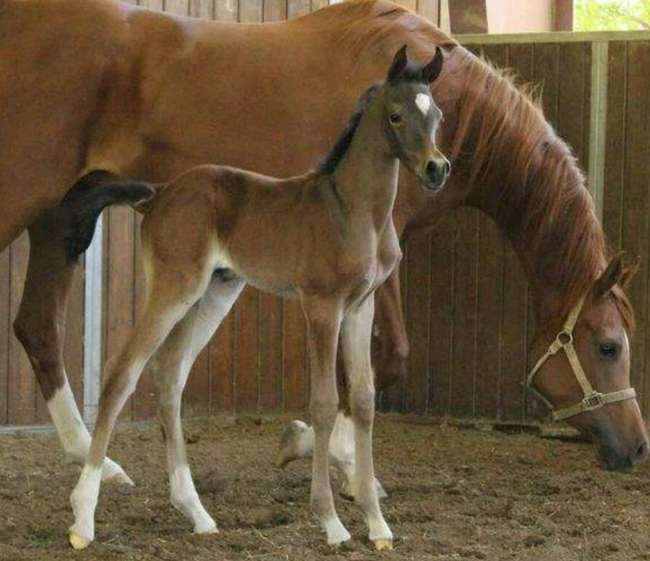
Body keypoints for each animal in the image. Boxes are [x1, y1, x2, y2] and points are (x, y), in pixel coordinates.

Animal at [0, 0, 646, 492]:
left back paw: (97, 462)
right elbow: (381, 362)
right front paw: (330, 456)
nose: (637, 447)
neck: (450, 111)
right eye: (609, 347)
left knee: (37, 328)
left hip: (61, 218)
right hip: (27, 199)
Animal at [62, 46, 449, 550]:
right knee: (122, 372)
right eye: (396, 115)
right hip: (174, 287)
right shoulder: (321, 306)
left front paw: (377, 523)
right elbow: (324, 403)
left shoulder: (360, 307)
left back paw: (197, 512)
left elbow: (363, 400)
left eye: (437, 115)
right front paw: (332, 521)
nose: (437, 169)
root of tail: (159, 194)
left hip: (214, 292)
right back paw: (83, 517)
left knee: (170, 376)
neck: (354, 212)